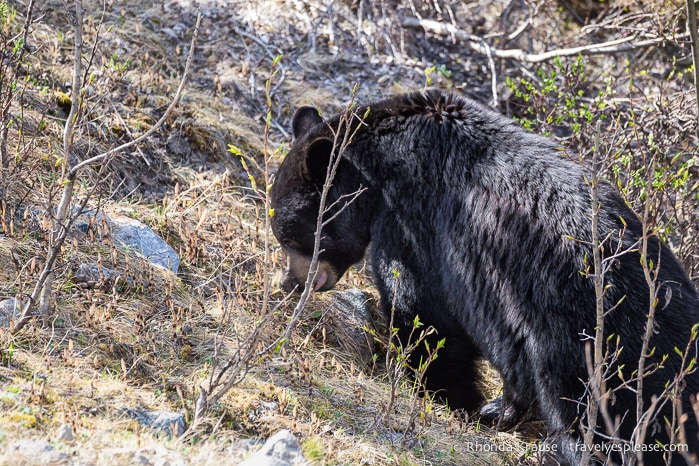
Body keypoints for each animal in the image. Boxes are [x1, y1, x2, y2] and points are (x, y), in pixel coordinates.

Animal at [270, 91, 699, 466]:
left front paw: (456, 398)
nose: (288, 283)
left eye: (290, 235)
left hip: (582, 340)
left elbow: (423, 314)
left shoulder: (416, 228)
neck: (382, 168)